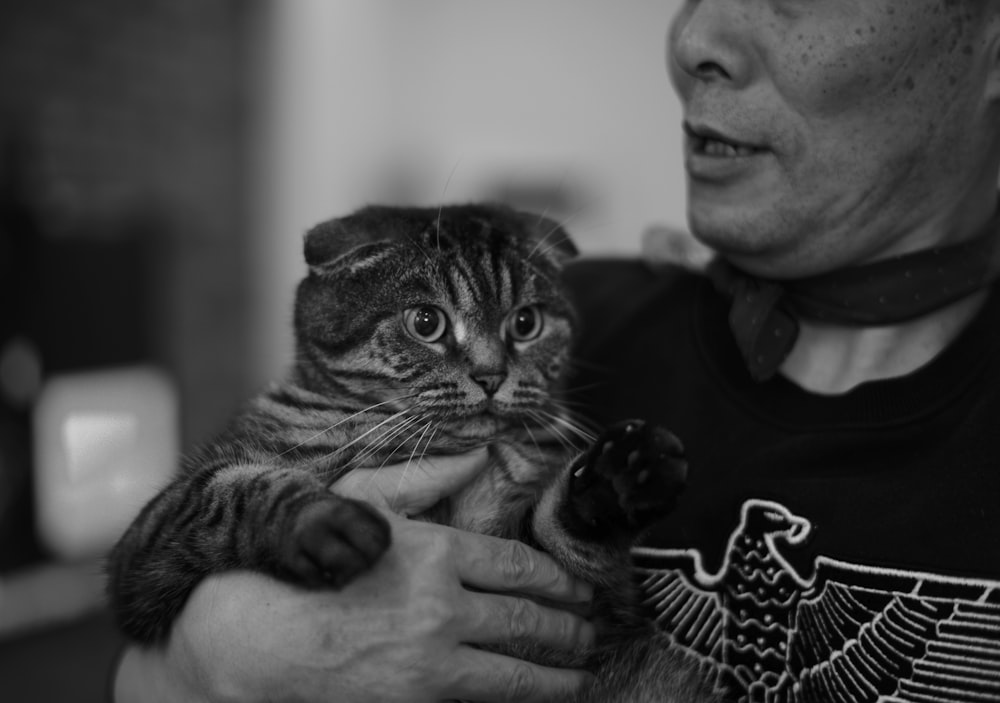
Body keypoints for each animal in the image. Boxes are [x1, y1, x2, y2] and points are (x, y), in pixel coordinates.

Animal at [105, 204, 720, 703]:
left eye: (526, 323)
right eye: (427, 322)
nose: (491, 375)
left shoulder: (573, 608)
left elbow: (563, 529)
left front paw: (621, 476)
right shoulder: (146, 554)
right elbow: (234, 491)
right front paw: (327, 523)